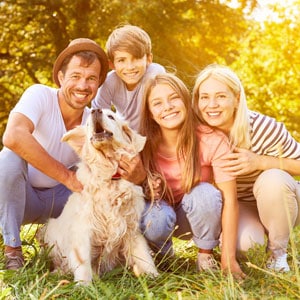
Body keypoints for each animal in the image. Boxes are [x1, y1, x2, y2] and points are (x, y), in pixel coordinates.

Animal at [39, 108, 159, 284]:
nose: (95, 110)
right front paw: (84, 285)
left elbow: (143, 256)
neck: (109, 176)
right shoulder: (83, 229)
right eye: (88, 123)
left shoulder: (131, 227)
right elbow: (82, 262)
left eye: (111, 116)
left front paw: (154, 277)